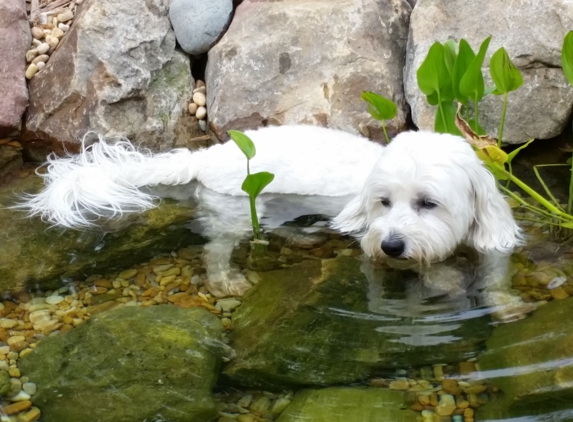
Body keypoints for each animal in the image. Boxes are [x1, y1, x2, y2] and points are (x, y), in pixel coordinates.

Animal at [20, 125, 532, 320]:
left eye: (428, 203)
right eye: (383, 202)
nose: (391, 245)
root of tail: (208, 155)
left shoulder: (492, 240)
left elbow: (495, 275)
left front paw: (505, 304)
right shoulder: (368, 242)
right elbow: (431, 270)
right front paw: (444, 277)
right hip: (238, 208)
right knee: (217, 248)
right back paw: (226, 279)